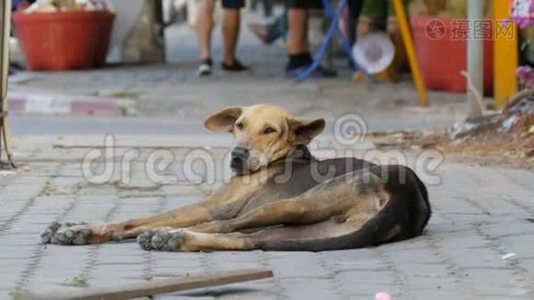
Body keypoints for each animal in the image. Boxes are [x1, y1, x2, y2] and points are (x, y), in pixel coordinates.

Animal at [40, 104, 432, 252]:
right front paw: (74, 227)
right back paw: (178, 240)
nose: (238, 155)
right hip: (305, 228)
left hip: (294, 205)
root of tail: (411, 200)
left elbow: (136, 220)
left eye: (270, 130)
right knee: (248, 241)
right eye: (240, 125)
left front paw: (82, 228)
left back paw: (169, 235)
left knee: (225, 227)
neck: (279, 157)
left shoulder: (209, 207)